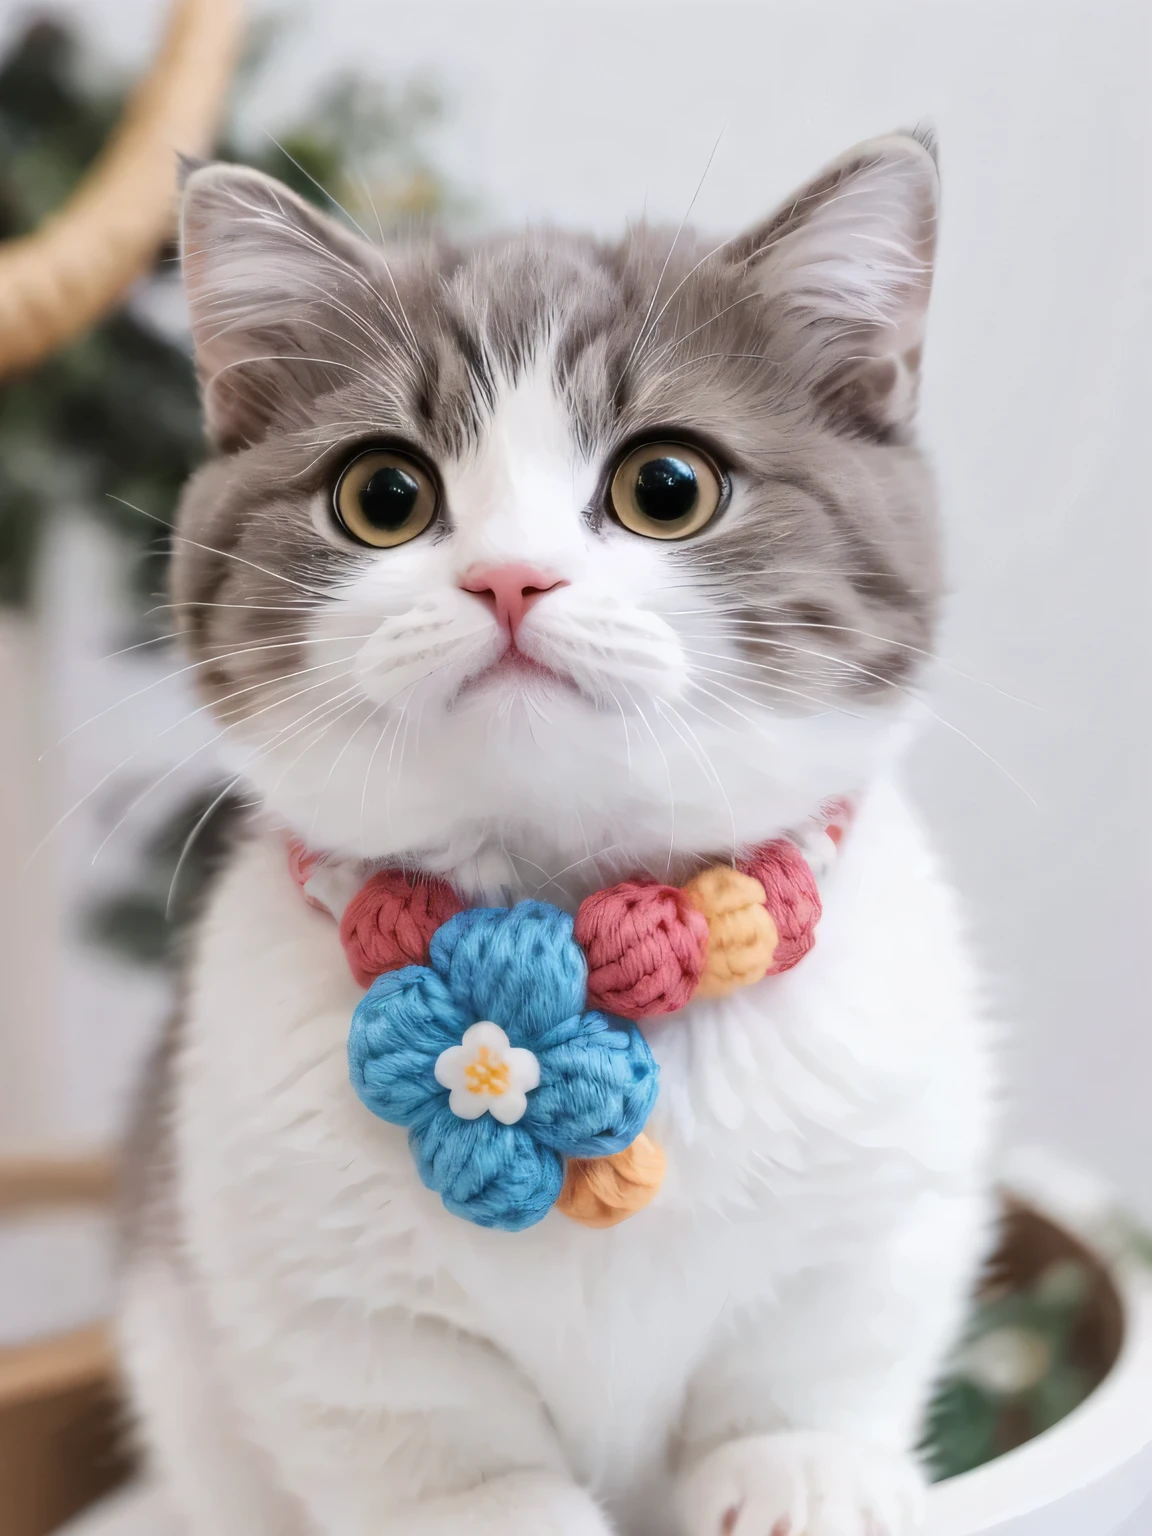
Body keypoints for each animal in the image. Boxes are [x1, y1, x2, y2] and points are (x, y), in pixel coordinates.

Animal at [122, 132, 995, 1536]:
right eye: (383, 494)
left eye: (667, 486)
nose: (509, 576)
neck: (564, 917)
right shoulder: (311, 1288)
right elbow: (423, 1430)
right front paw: (496, 1510)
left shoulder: (883, 1188)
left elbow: (824, 1338)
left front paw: (799, 1469)